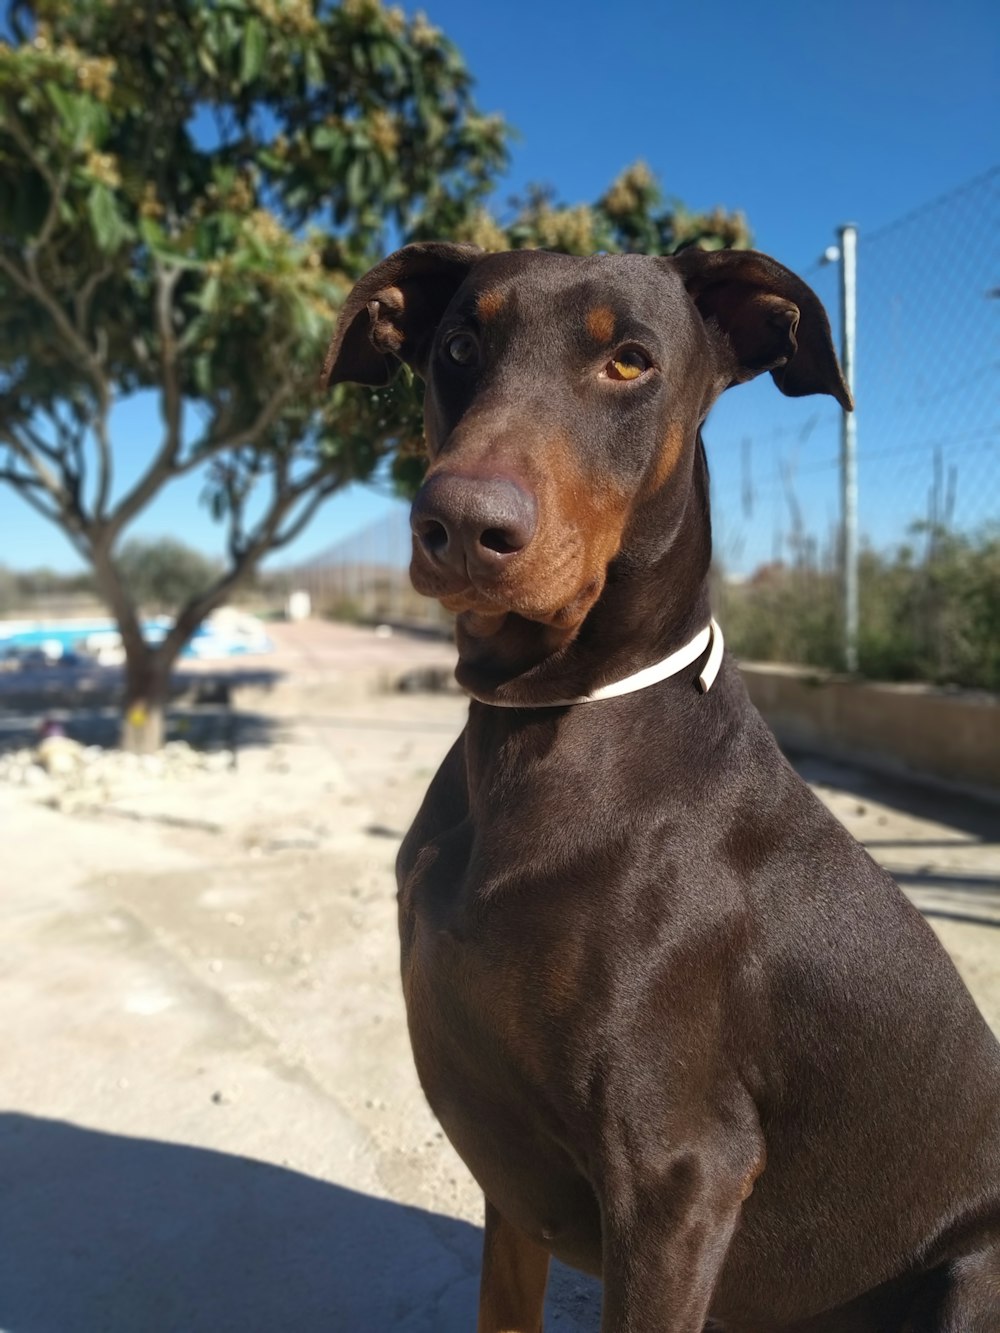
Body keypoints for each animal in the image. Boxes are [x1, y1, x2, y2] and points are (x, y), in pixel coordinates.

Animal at [326, 245, 1000, 1327]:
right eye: (460, 345)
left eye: (630, 362)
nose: (461, 523)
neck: (545, 724)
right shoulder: (513, 1178)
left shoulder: (675, 1177)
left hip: (974, 1268)